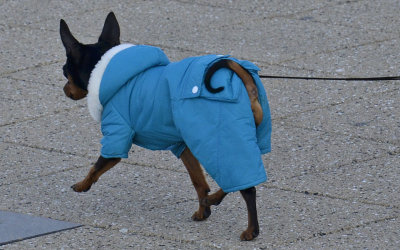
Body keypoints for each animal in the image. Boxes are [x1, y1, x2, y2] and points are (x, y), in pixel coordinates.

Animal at [60, 11, 272, 240]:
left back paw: (250, 229)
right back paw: (213, 200)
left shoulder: (116, 137)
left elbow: (96, 166)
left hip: (223, 141)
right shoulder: (183, 145)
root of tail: (247, 87)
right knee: (236, 179)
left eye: (65, 72)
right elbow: (199, 182)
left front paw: (83, 184)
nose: (64, 89)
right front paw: (202, 211)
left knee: (244, 184)